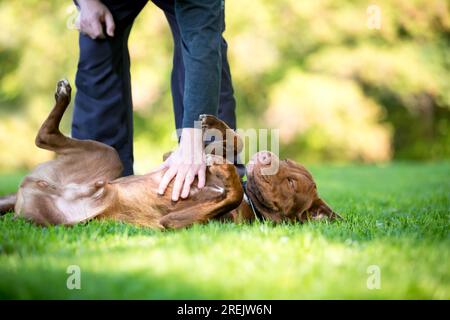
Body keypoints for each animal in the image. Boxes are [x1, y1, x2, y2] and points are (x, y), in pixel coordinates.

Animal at [0, 79, 340, 228]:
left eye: (292, 184)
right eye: (288, 162)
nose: (267, 156)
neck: (249, 199)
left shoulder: (177, 225)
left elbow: (228, 193)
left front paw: (226, 171)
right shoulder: (171, 158)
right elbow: (235, 141)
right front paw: (213, 125)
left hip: (80, 192)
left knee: (42, 137)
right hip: (108, 155)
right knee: (44, 136)